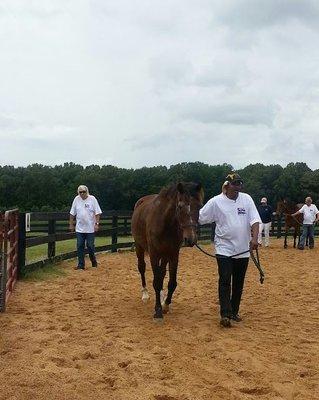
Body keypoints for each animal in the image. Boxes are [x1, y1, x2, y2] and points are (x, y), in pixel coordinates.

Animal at [132, 181, 205, 322]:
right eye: (180, 206)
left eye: (199, 207)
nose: (190, 239)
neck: (165, 224)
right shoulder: (154, 254)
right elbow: (156, 282)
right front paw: (158, 311)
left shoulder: (173, 254)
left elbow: (171, 282)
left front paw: (165, 305)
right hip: (139, 247)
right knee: (142, 268)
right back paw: (145, 294)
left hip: (165, 255)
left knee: (161, 273)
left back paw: (161, 297)